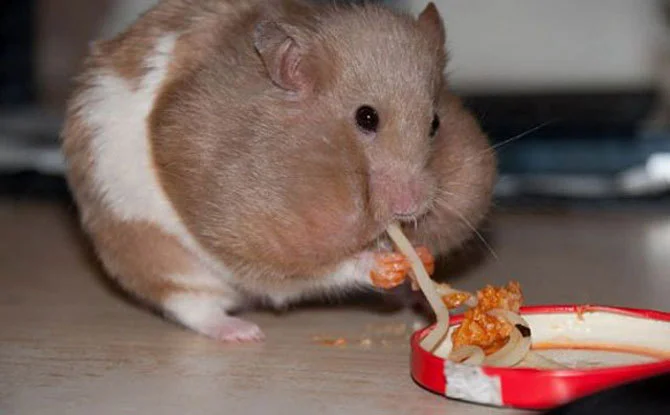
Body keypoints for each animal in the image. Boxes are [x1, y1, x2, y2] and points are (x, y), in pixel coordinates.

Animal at [61, 0, 496, 342]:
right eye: (366, 117)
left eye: (435, 123)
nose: (411, 207)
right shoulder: (257, 239)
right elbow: (322, 268)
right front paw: (386, 264)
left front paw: (421, 259)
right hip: (153, 251)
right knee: (191, 304)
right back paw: (244, 333)